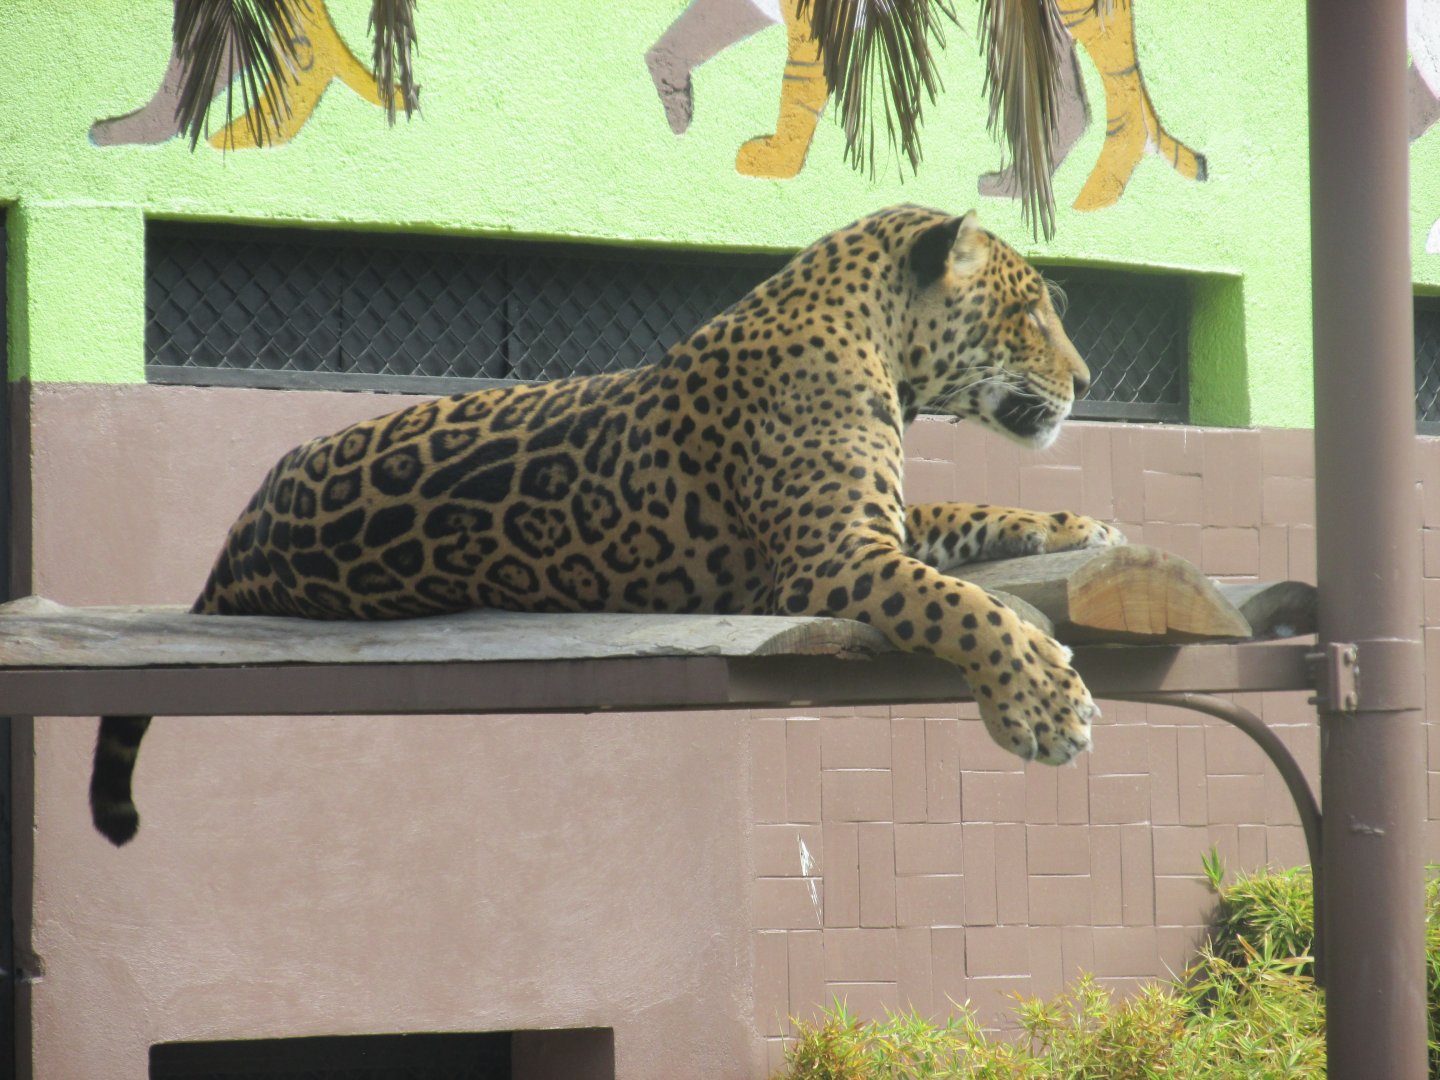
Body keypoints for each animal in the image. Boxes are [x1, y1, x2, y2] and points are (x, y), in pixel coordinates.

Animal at [90, 204, 1123, 846]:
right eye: (1031, 313)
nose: (1087, 380)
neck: (878, 347)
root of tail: (234, 546)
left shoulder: (878, 522)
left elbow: (965, 513)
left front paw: (1077, 523)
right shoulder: (828, 558)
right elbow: (958, 606)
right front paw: (1044, 703)